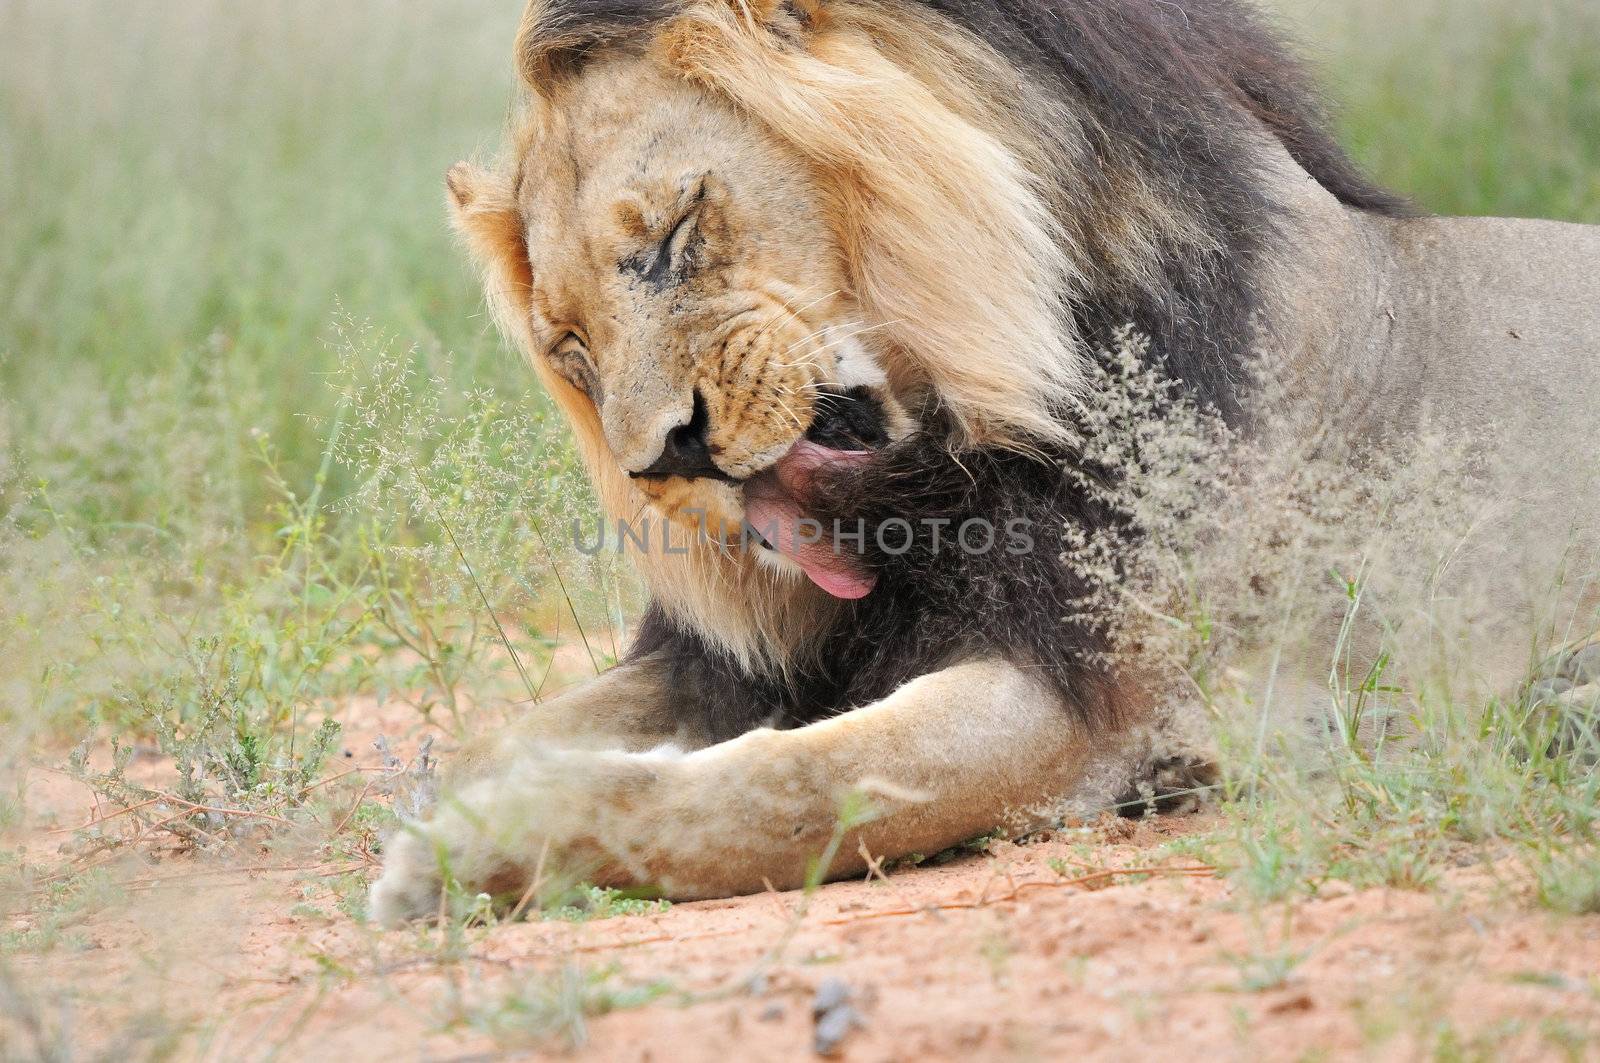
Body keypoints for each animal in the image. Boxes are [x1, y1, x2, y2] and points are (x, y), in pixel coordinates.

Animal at [366, 0, 1600, 922]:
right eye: (571, 350)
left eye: (674, 233)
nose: (662, 459)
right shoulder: (759, 662)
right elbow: (495, 735)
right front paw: (455, 806)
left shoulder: (1095, 709)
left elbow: (792, 787)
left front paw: (472, 852)